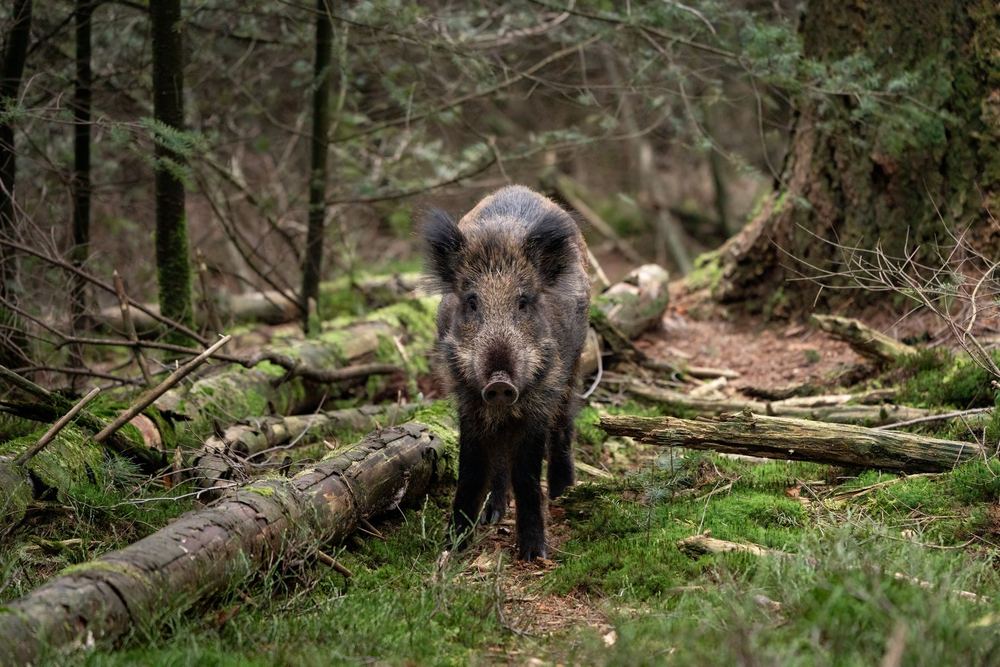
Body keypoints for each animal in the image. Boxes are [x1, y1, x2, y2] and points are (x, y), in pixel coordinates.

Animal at [423, 185, 590, 560]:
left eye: (523, 301)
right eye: (471, 301)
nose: (500, 382)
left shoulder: (542, 397)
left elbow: (526, 472)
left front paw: (533, 554)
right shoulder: (467, 400)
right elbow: (471, 471)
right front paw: (453, 546)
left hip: (574, 364)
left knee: (563, 427)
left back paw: (563, 494)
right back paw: (491, 515)